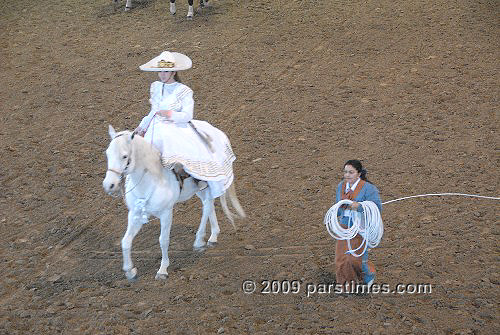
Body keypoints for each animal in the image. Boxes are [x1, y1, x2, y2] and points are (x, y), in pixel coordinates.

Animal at [103, 125, 244, 280]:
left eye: (124, 156)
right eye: (107, 154)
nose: (109, 185)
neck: (153, 180)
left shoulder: (166, 214)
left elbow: (163, 240)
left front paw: (162, 270)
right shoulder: (135, 213)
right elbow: (126, 241)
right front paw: (130, 270)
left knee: (207, 206)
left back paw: (199, 241)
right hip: (201, 189)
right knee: (209, 205)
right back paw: (212, 236)